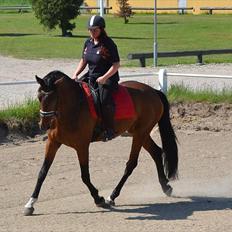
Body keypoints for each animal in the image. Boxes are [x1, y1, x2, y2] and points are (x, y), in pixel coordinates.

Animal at [23, 70, 179, 216]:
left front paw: (99, 199)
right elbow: (42, 173)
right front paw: (30, 204)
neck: (73, 107)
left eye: (53, 97)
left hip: (140, 134)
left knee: (131, 164)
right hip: (140, 133)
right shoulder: (53, 143)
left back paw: (112, 196)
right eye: (39, 97)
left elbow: (85, 176)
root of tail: (153, 91)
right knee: (156, 152)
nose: (44, 125)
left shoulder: (82, 146)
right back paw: (166, 186)